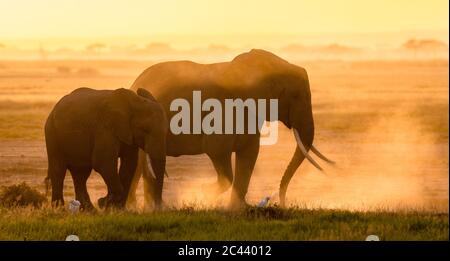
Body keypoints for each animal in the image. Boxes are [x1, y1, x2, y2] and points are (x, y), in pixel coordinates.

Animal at [128, 48, 332, 207]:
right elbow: (217, 151)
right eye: (296, 96)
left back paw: (138, 207)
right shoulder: (221, 113)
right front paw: (203, 192)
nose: (280, 202)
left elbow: (249, 155)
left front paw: (239, 208)